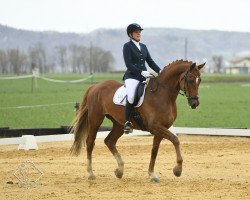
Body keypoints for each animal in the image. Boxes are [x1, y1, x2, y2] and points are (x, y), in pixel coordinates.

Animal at [70, 59, 205, 183]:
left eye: (199, 80)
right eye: (190, 79)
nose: (195, 103)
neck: (163, 95)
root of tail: (95, 86)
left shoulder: (160, 129)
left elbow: (154, 150)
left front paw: (152, 174)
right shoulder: (155, 127)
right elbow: (175, 140)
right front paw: (177, 169)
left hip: (118, 124)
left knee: (109, 141)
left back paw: (119, 170)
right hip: (95, 119)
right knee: (90, 142)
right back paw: (91, 173)